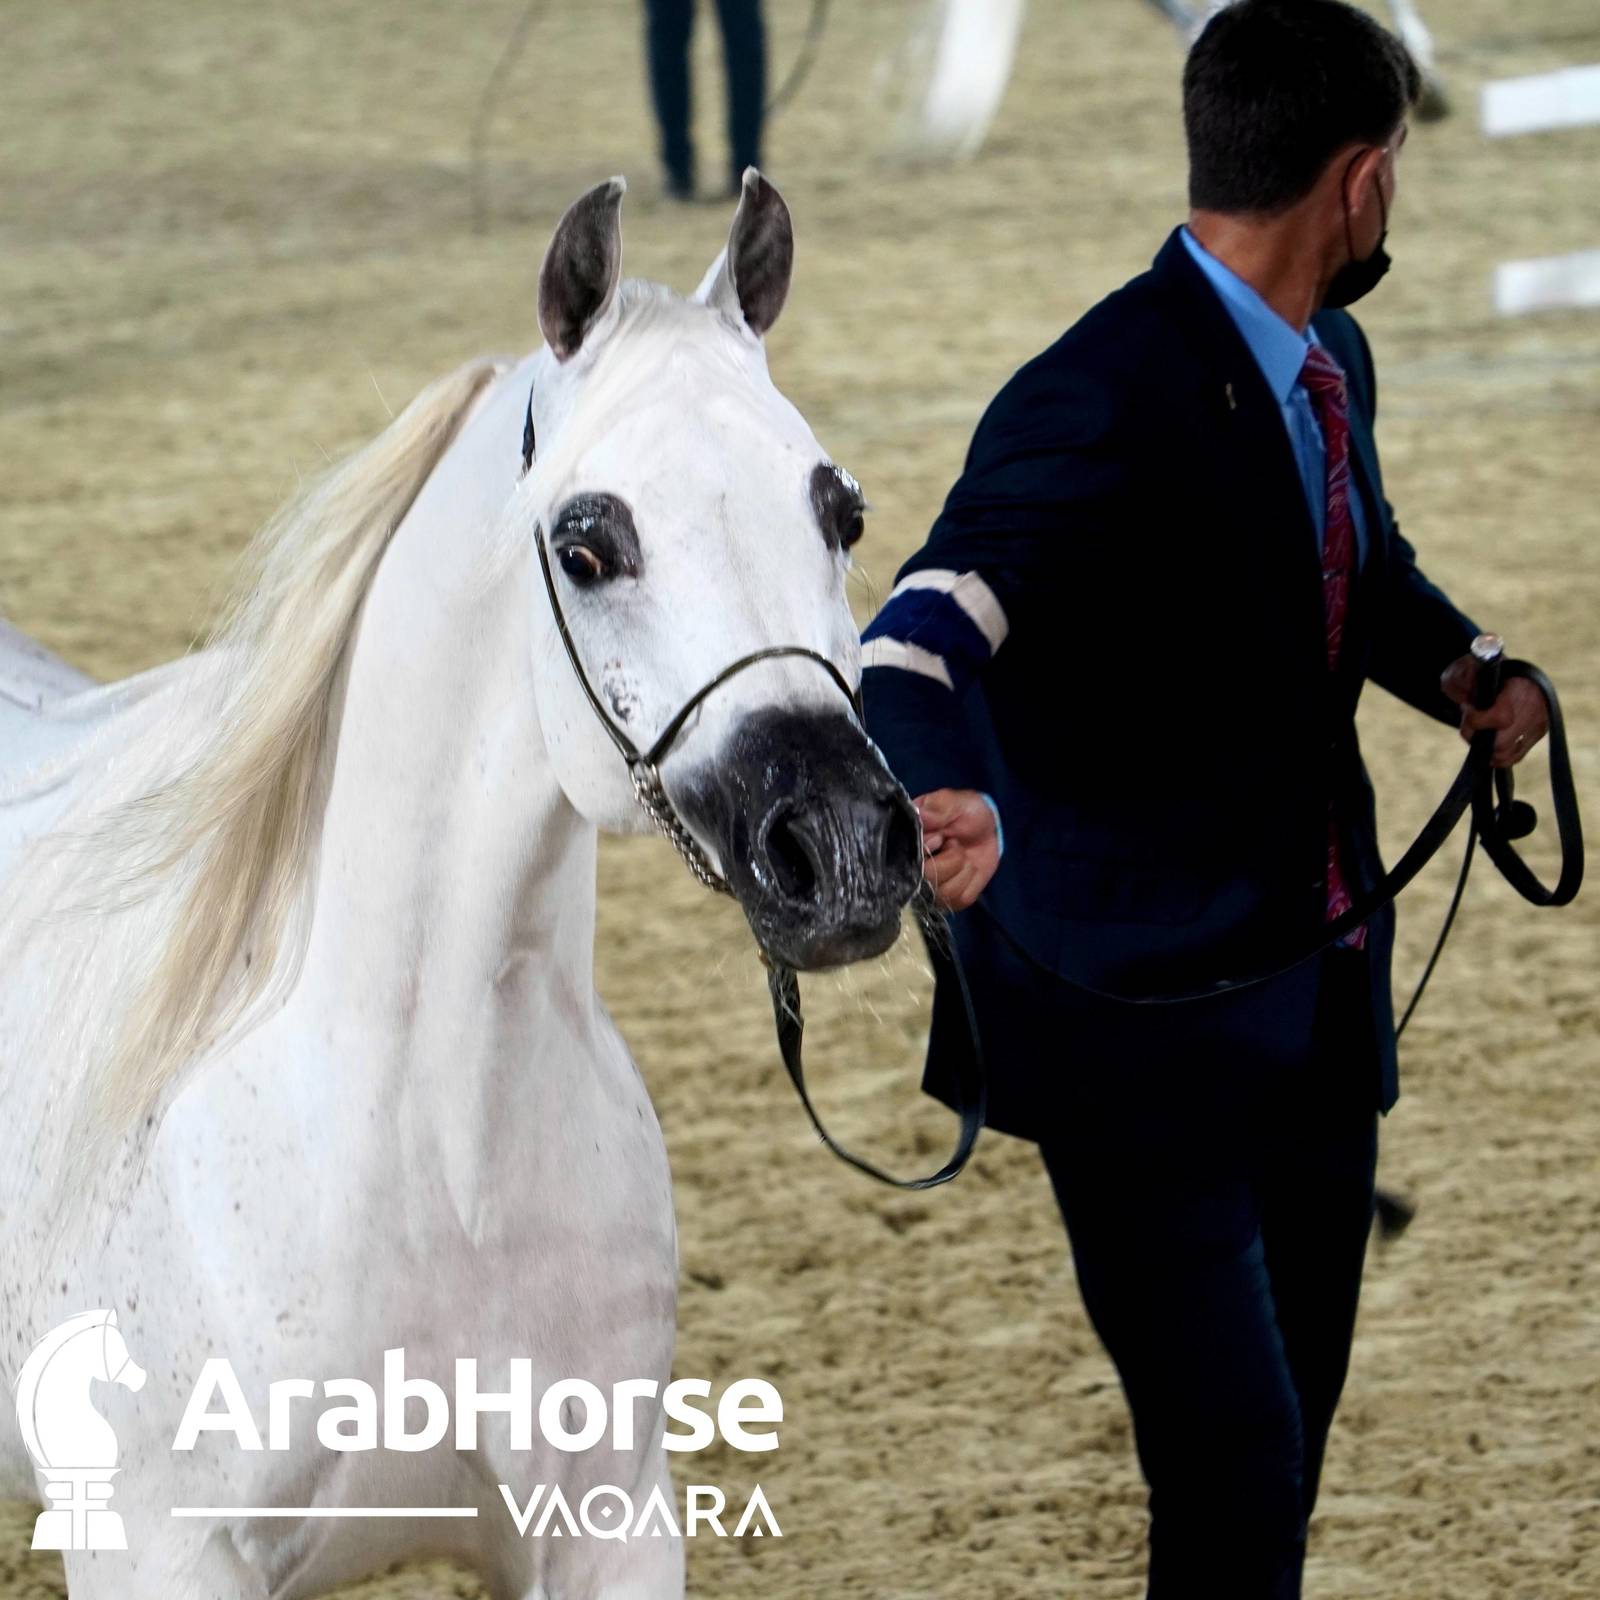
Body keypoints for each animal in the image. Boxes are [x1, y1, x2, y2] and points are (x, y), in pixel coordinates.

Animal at [0, 169, 921, 1599]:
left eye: (843, 511)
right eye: (587, 547)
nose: (837, 846)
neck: (425, 1135)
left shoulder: (608, 1530)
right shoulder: (160, 1549)